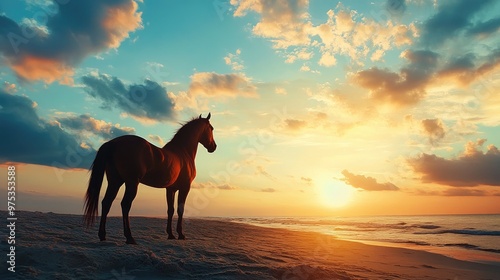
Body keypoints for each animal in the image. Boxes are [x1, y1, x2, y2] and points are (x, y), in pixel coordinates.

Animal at [83, 112, 216, 244]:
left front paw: (170, 234)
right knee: (125, 205)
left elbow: (170, 210)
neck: (183, 153)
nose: (213, 147)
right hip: (131, 183)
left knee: (106, 203)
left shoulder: (170, 189)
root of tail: (113, 143)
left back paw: (102, 235)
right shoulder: (185, 187)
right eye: (211, 128)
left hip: (115, 182)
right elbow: (180, 209)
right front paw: (181, 234)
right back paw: (129, 237)